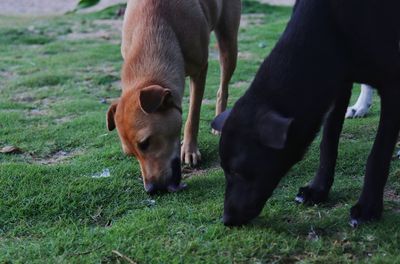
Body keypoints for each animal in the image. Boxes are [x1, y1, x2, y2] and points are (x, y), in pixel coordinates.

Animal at [106, 0, 241, 194]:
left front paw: (190, 149)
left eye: (145, 142)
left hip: (228, 42)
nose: (151, 189)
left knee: (223, 87)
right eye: (130, 154)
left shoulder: (200, 69)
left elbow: (193, 115)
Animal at [212, 0, 400, 227]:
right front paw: (318, 189)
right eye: (224, 170)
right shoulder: (337, 83)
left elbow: (377, 155)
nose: (226, 219)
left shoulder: (393, 86)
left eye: (238, 171)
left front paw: (368, 207)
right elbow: (327, 143)